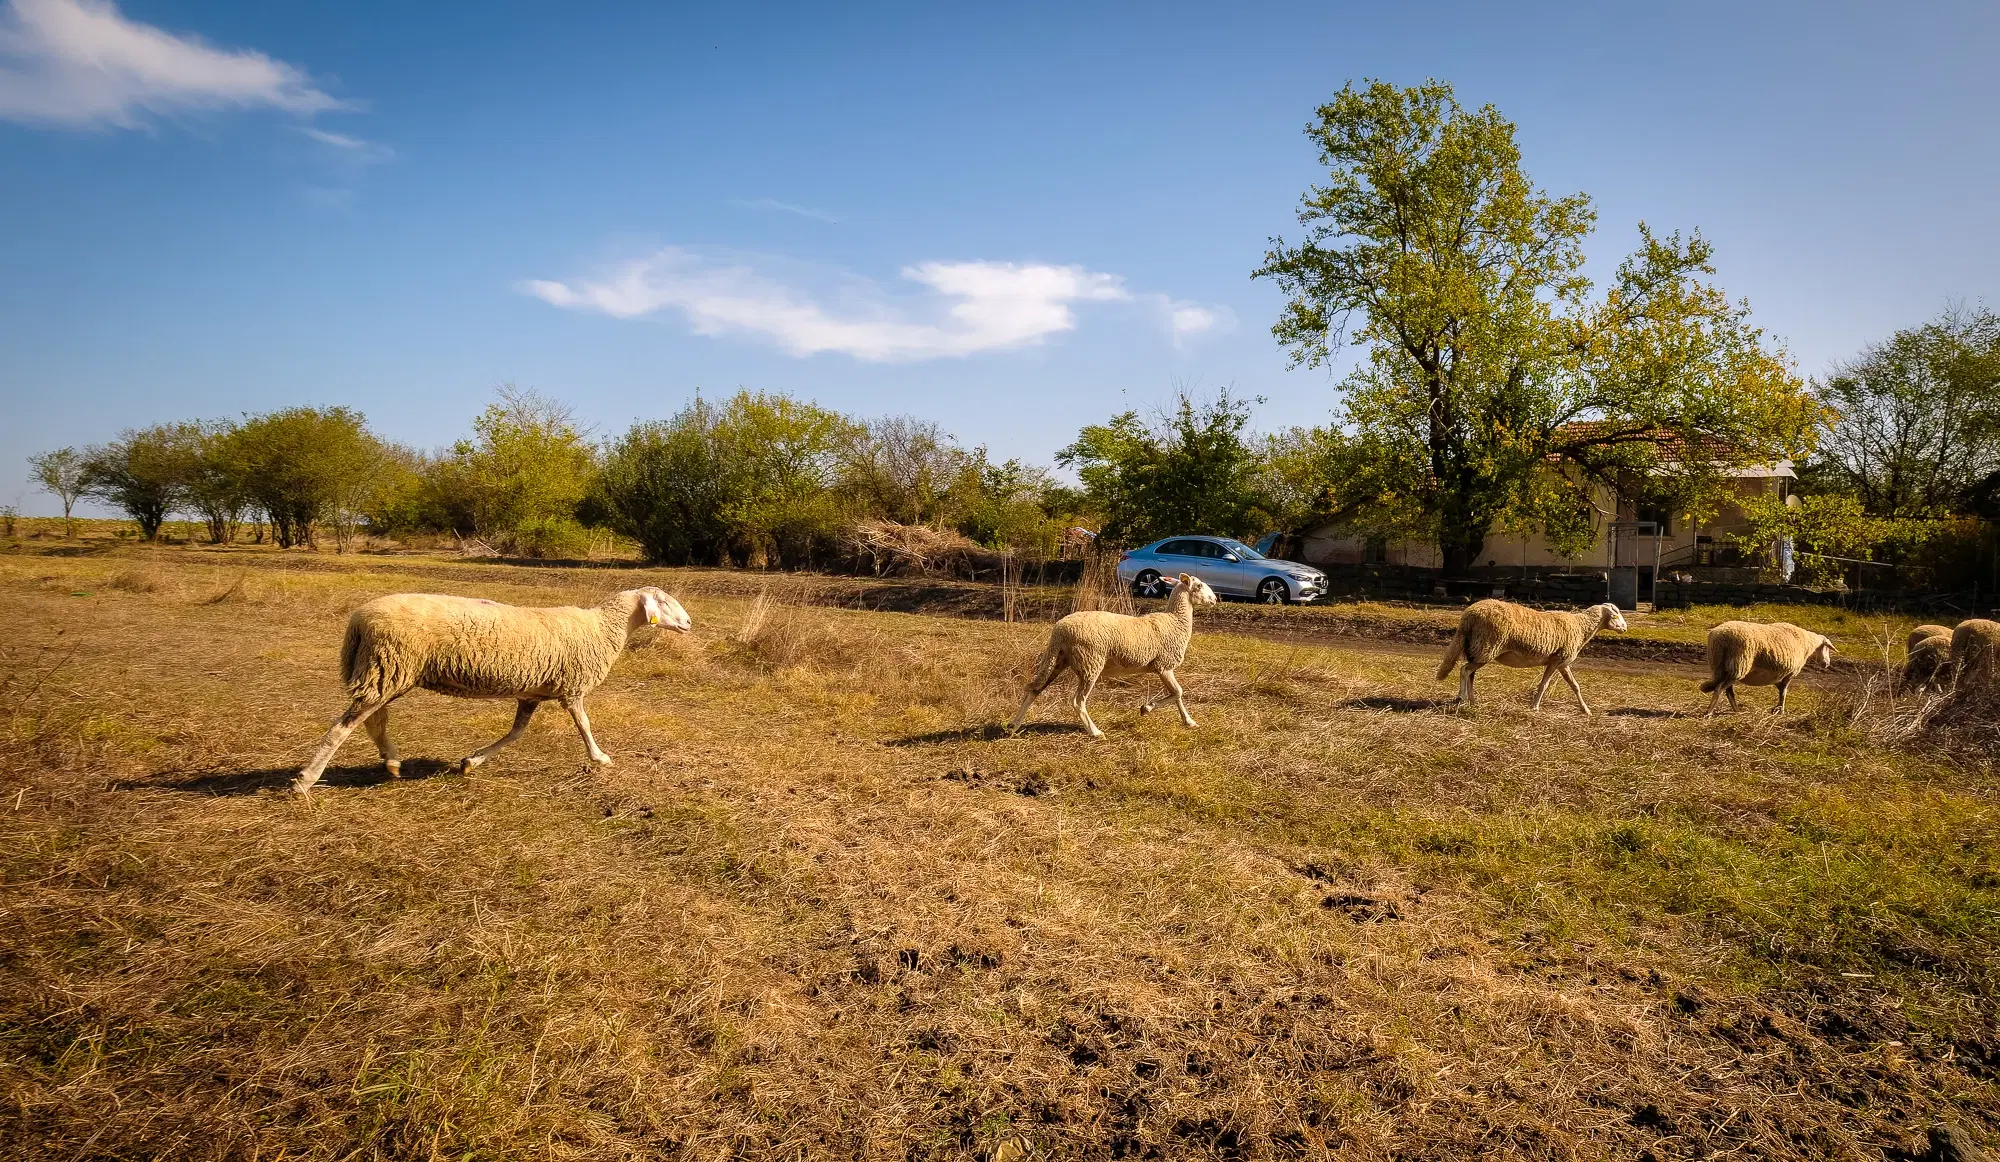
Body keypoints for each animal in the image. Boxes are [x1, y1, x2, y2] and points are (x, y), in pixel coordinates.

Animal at [292, 584, 692, 792]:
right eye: (664, 601)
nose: (689, 623)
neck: (604, 627)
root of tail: (359, 621)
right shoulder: (572, 688)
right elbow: (585, 725)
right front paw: (601, 758)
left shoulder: (532, 693)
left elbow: (516, 733)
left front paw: (471, 762)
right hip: (389, 666)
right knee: (343, 727)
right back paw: (306, 781)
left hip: (387, 673)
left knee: (373, 722)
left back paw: (391, 763)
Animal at [1016, 568, 1216, 736]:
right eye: (1199, 585)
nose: (1215, 599)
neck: (1176, 620)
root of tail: (1059, 630)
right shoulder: (1163, 666)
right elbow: (1178, 692)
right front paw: (1147, 708)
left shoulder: (1163, 667)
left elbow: (1177, 694)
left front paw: (1188, 721)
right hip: (1090, 663)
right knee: (1077, 701)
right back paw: (1095, 732)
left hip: (1060, 659)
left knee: (1035, 689)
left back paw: (1013, 725)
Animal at [1432, 604, 1632, 712]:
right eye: (1616, 615)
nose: (1625, 628)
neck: (1581, 627)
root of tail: (1468, 616)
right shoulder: (1557, 660)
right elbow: (1544, 685)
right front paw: (1535, 707)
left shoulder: (1561, 662)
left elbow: (1575, 686)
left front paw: (1585, 710)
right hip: (1487, 647)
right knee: (1464, 670)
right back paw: (1461, 698)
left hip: (1478, 648)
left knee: (1470, 673)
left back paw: (1473, 701)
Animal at [1696, 620, 1832, 712]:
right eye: (1826, 648)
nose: (1827, 663)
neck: (1808, 644)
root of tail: (1720, 637)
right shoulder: (1790, 673)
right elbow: (1784, 692)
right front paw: (1781, 710)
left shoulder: (1777, 676)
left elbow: (1781, 689)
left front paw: (1777, 709)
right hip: (1739, 666)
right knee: (1720, 689)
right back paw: (1709, 712)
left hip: (1720, 666)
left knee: (1728, 691)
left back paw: (1736, 711)